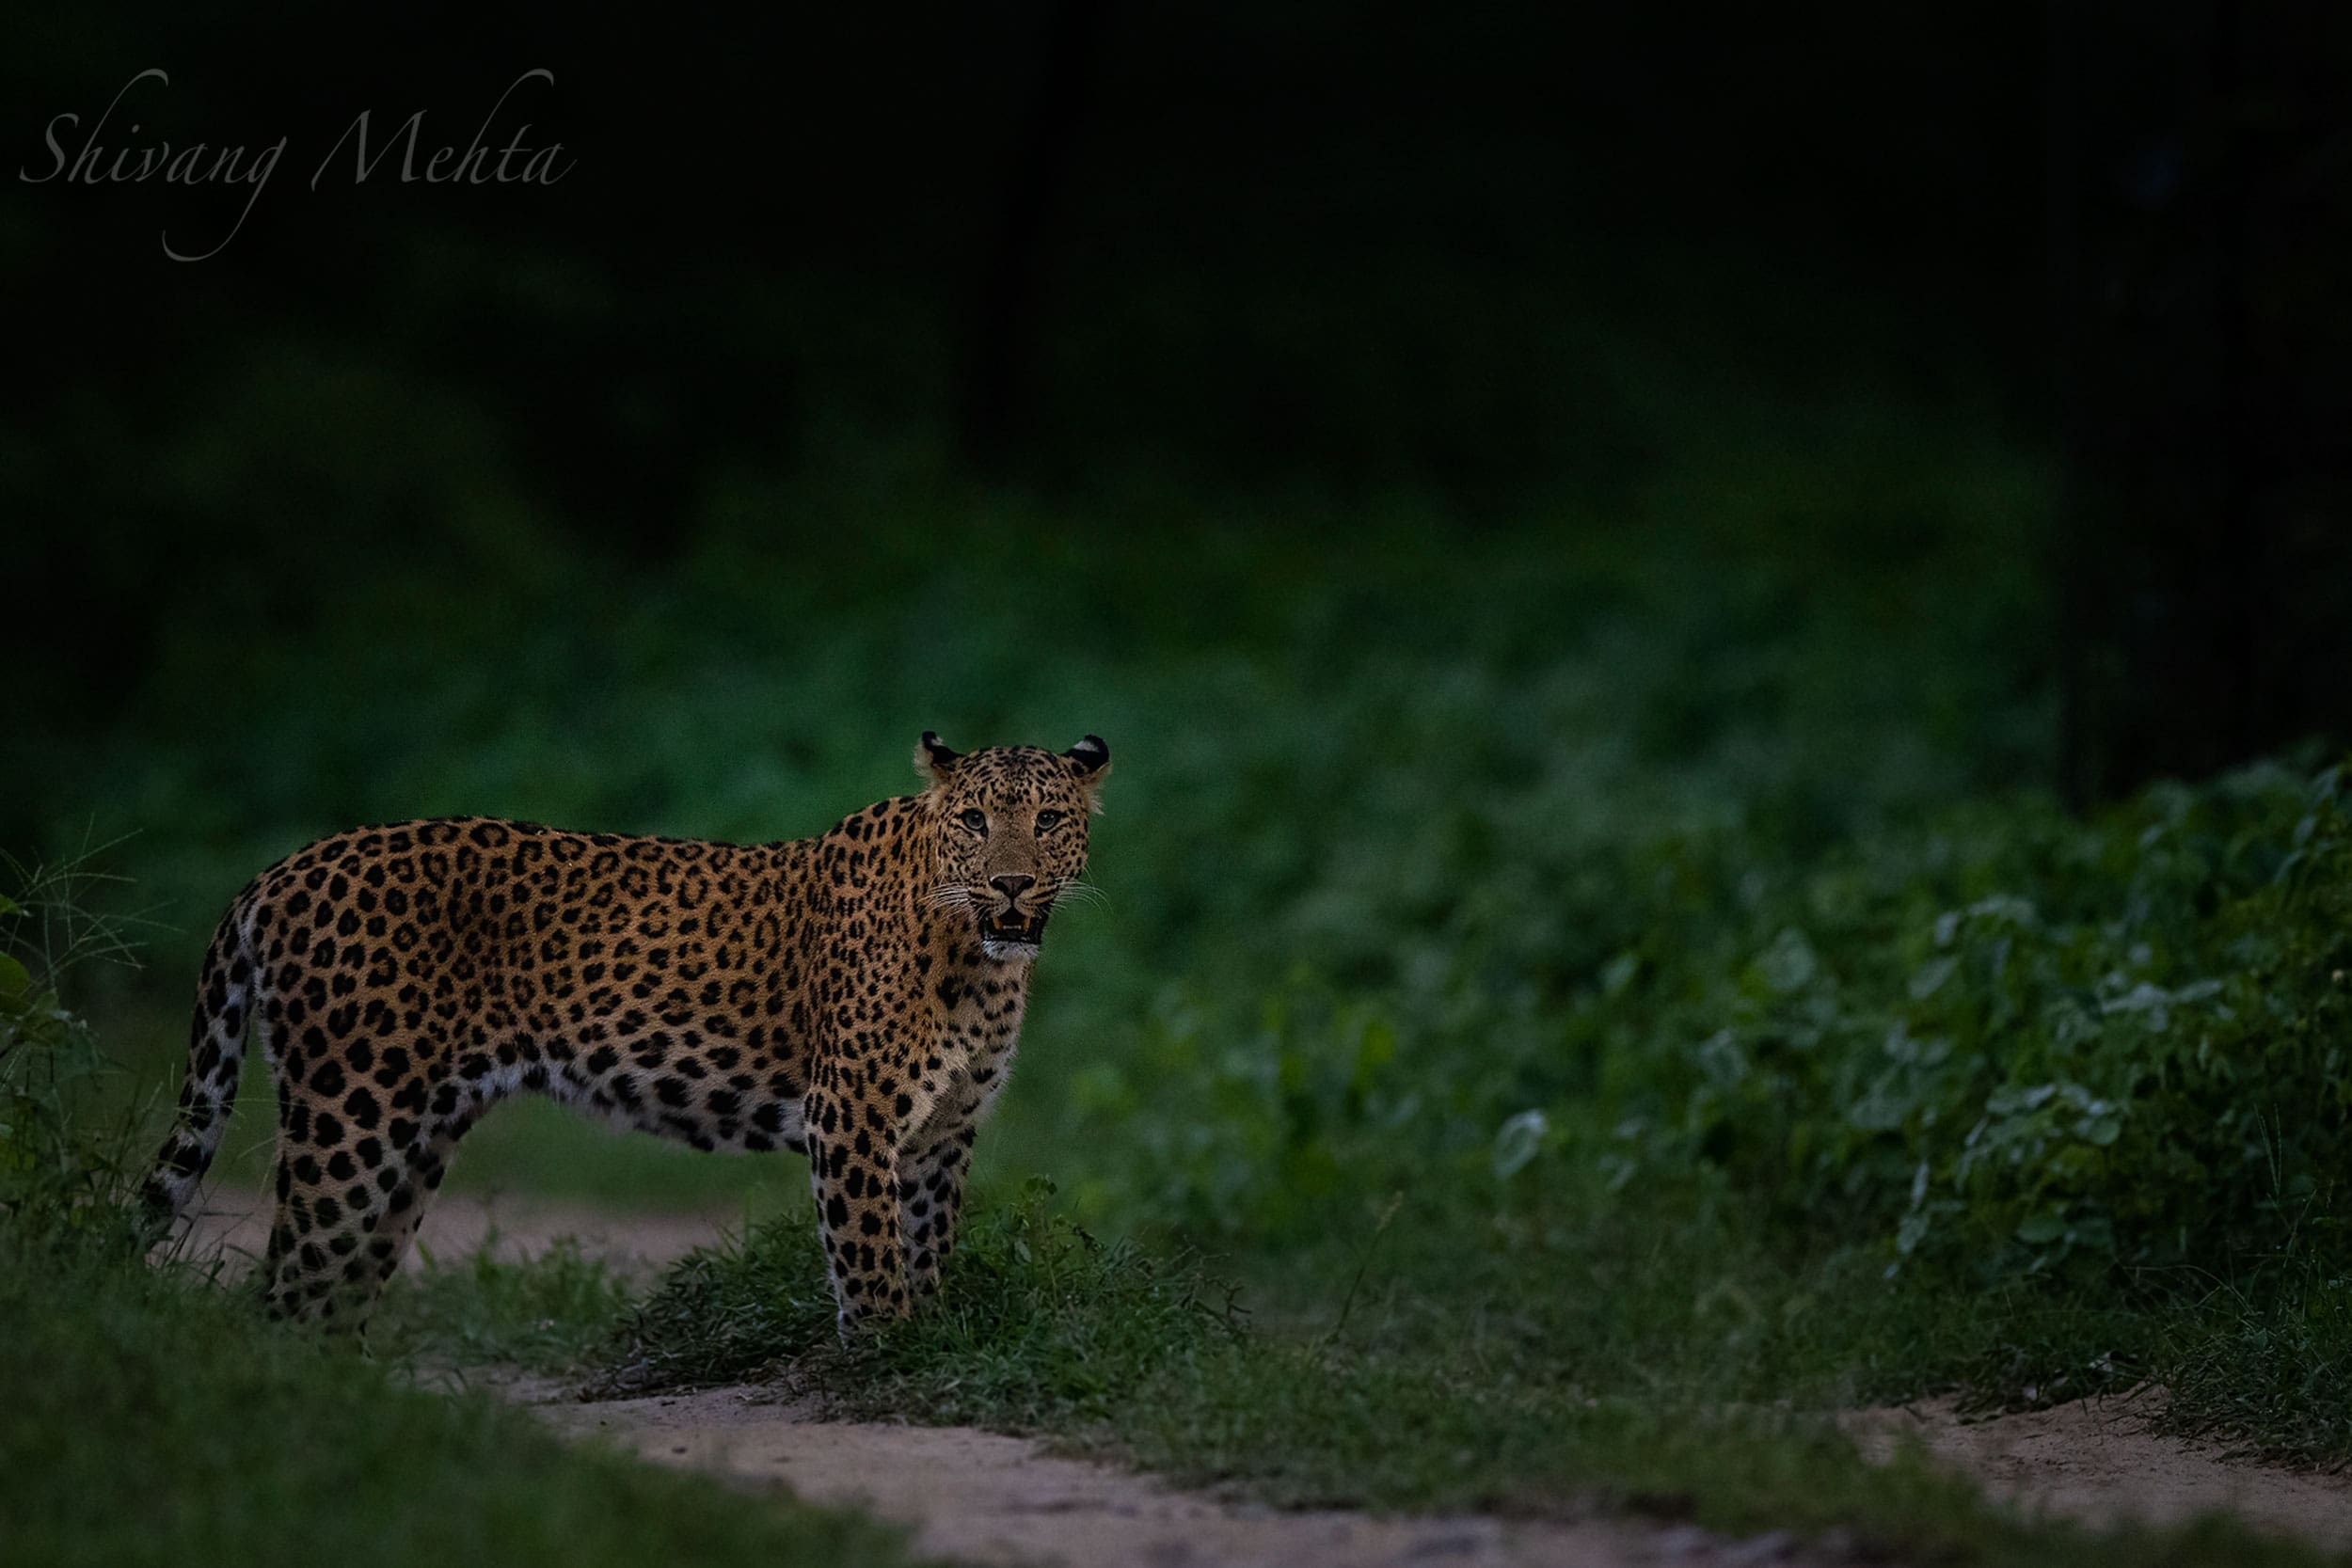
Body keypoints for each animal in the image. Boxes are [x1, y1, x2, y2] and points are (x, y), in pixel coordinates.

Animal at [139, 737, 1110, 1335]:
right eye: (976, 821)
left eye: (1049, 821)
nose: (1011, 883)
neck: (980, 965)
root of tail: (283, 868)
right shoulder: (850, 1117)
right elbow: (871, 1262)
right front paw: (887, 1359)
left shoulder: (943, 1132)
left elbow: (927, 1245)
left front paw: (930, 1337)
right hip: (350, 1117)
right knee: (285, 1286)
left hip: (413, 1142)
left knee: (331, 1295)